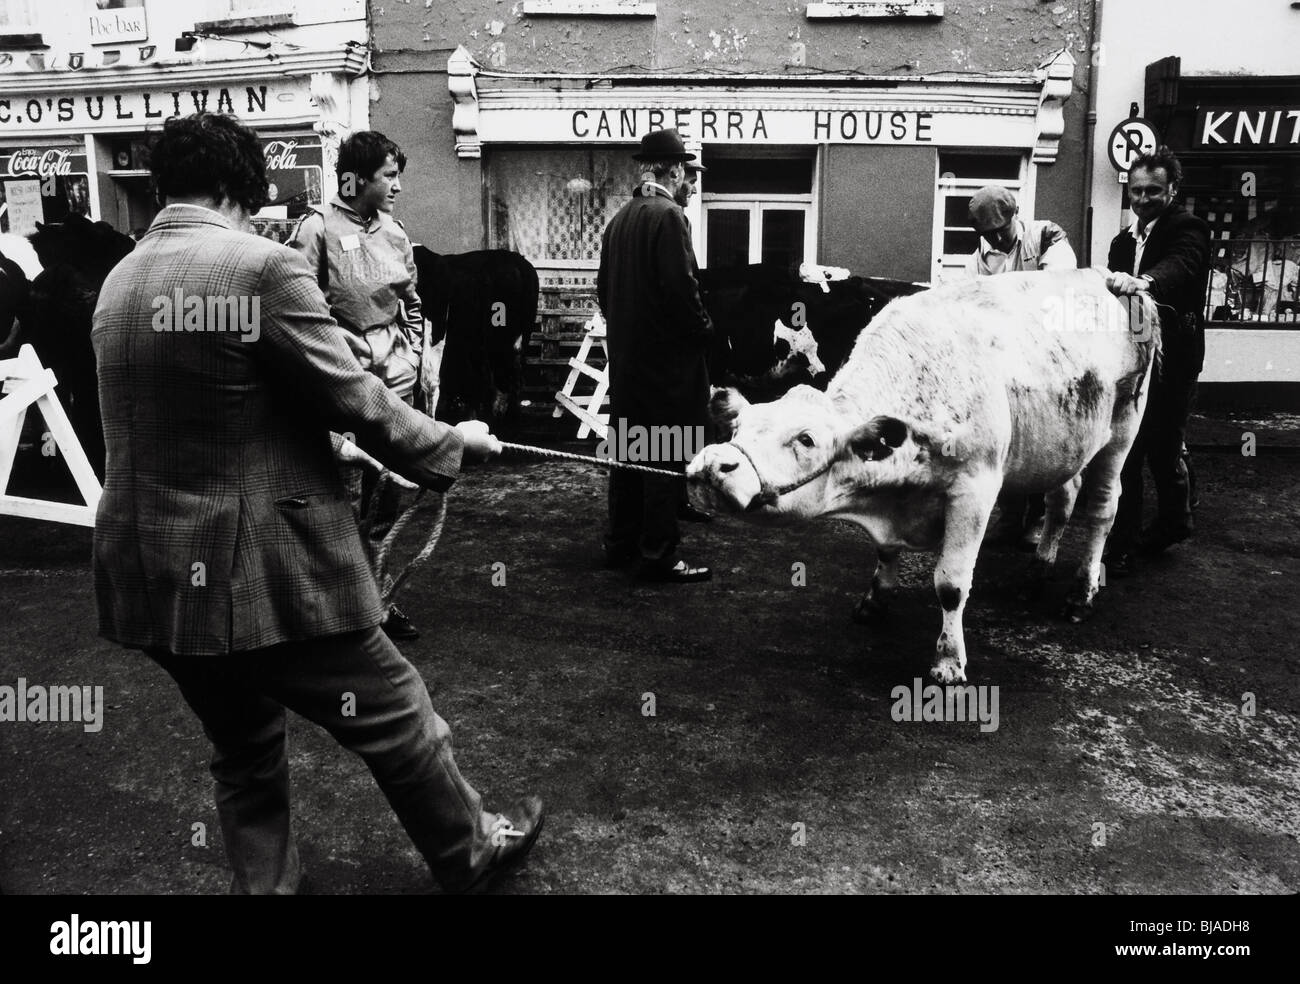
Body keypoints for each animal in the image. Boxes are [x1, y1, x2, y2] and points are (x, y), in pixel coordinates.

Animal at [686, 269, 1164, 681]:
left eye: (806, 440)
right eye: (738, 429)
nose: (712, 465)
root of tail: (1113, 280)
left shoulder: (975, 491)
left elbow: (951, 585)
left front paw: (949, 661)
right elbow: (884, 551)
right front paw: (875, 600)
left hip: (1122, 433)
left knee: (1102, 508)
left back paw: (1081, 593)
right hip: (1062, 445)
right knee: (1062, 500)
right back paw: (1038, 572)